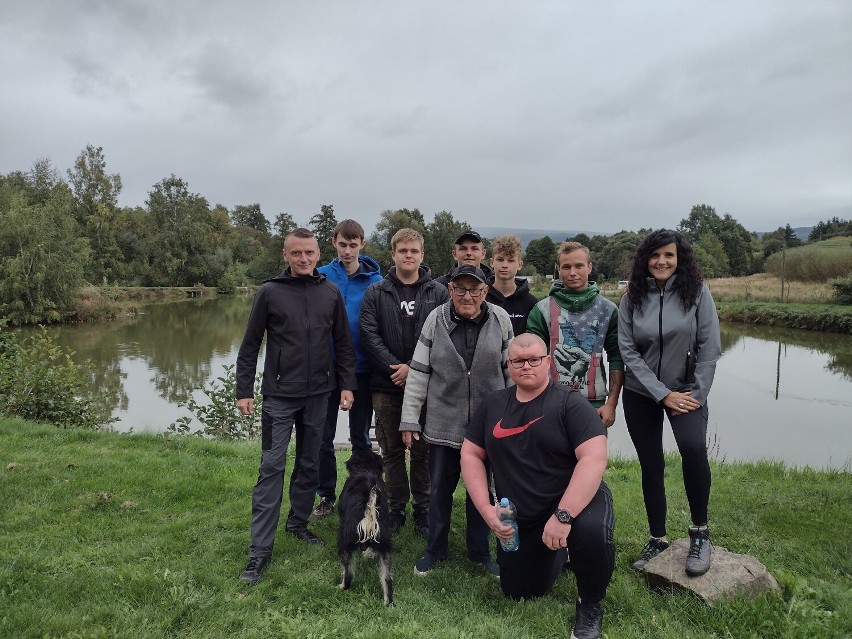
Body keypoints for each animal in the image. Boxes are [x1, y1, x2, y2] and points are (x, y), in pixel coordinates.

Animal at [338, 448, 394, 608]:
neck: (366, 467)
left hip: (345, 542)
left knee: (349, 573)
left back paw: (342, 586)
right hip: (385, 546)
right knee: (387, 578)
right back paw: (388, 602)